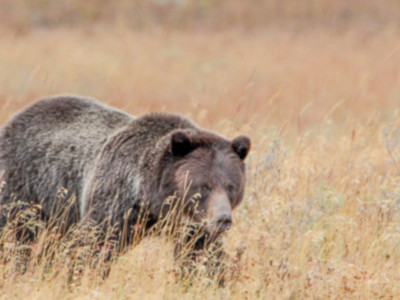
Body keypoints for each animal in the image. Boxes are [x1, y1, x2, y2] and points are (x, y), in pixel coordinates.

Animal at [0, 96, 250, 270]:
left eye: (231, 186)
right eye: (204, 185)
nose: (223, 219)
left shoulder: (191, 224)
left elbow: (201, 255)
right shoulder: (114, 200)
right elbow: (96, 245)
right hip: (23, 185)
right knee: (14, 232)